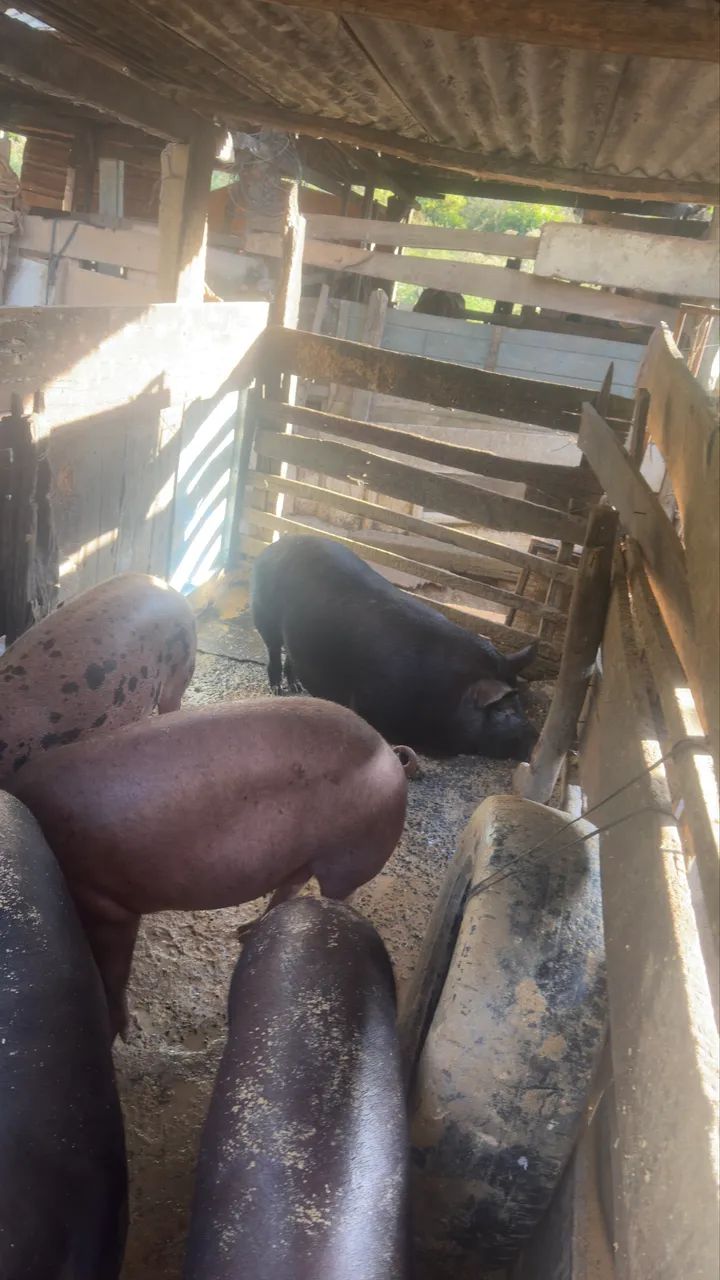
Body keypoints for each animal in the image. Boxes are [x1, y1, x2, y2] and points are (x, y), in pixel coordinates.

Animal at [13, 698, 408, 1039]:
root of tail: (388, 751)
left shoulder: (107, 906)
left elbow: (113, 973)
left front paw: (120, 1034)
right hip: (301, 856)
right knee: (291, 885)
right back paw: (244, 933)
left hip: (346, 860)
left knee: (333, 894)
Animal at [251, 536, 538, 761]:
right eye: (504, 711)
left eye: (520, 705)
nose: (534, 741)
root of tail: (274, 546)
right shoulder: (368, 700)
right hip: (265, 614)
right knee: (273, 650)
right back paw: (278, 690)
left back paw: (296, 688)